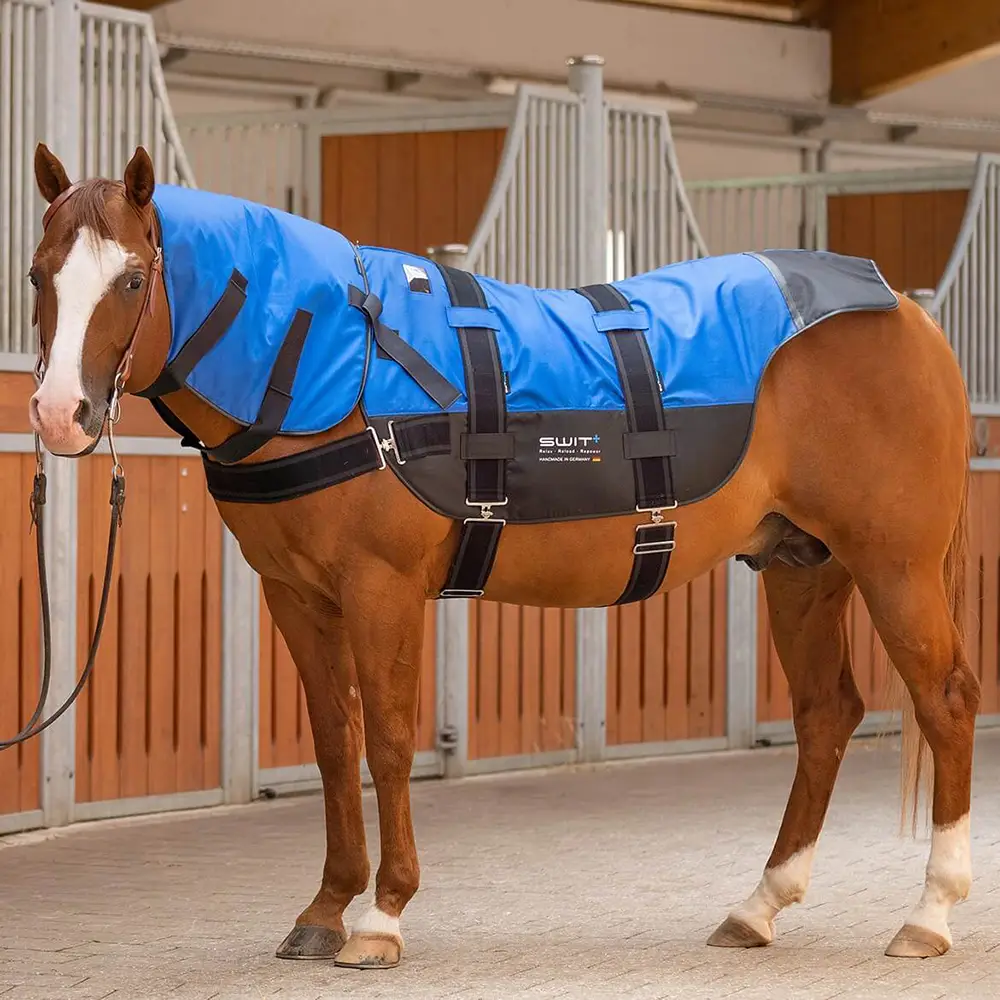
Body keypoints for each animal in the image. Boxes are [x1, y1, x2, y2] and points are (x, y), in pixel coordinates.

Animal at [25, 142, 977, 969]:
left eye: (134, 279)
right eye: (38, 275)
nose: (60, 413)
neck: (337, 355)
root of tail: (908, 315)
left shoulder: (381, 590)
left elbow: (390, 744)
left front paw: (383, 917)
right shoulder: (296, 596)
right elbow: (335, 743)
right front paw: (326, 909)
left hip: (893, 567)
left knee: (946, 701)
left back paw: (928, 915)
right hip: (803, 566)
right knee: (826, 715)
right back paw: (759, 906)